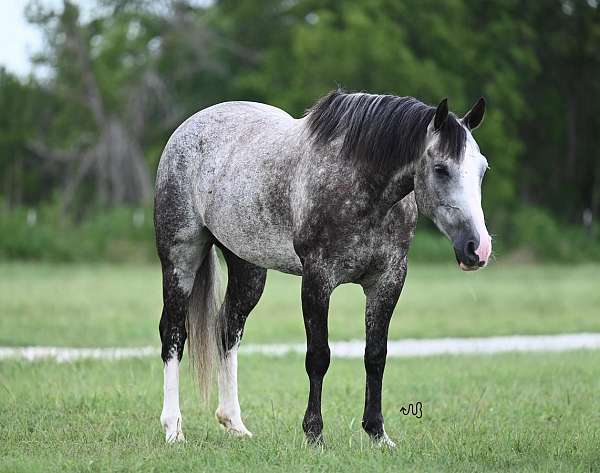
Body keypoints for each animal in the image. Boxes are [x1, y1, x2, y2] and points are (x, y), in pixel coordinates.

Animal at [154, 89, 492, 446]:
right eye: (441, 168)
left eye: (483, 169)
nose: (478, 248)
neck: (361, 185)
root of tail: (188, 127)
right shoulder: (317, 280)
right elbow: (318, 356)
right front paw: (314, 434)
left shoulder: (388, 280)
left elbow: (376, 355)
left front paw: (377, 433)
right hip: (180, 258)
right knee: (173, 332)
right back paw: (174, 428)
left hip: (248, 268)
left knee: (228, 330)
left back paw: (234, 423)